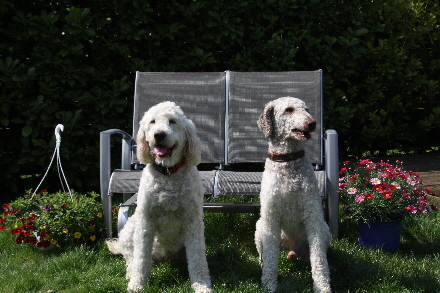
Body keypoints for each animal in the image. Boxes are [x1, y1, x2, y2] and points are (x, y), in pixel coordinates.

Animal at [118, 101, 211, 292]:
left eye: (172, 121)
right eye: (152, 121)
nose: (159, 134)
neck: (168, 173)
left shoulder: (193, 221)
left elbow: (197, 257)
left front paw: (201, 284)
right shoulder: (145, 221)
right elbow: (141, 259)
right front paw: (137, 284)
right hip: (129, 230)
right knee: (131, 258)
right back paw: (130, 273)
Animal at [254, 96, 330, 292]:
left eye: (307, 109)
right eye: (289, 110)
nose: (312, 123)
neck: (288, 162)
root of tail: (292, 248)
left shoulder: (313, 217)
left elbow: (319, 260)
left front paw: (322, 286)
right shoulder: (271, 218)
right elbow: (271, 258)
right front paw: (269, 283)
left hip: (324, 229)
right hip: (260, 227)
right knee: (263, 254)